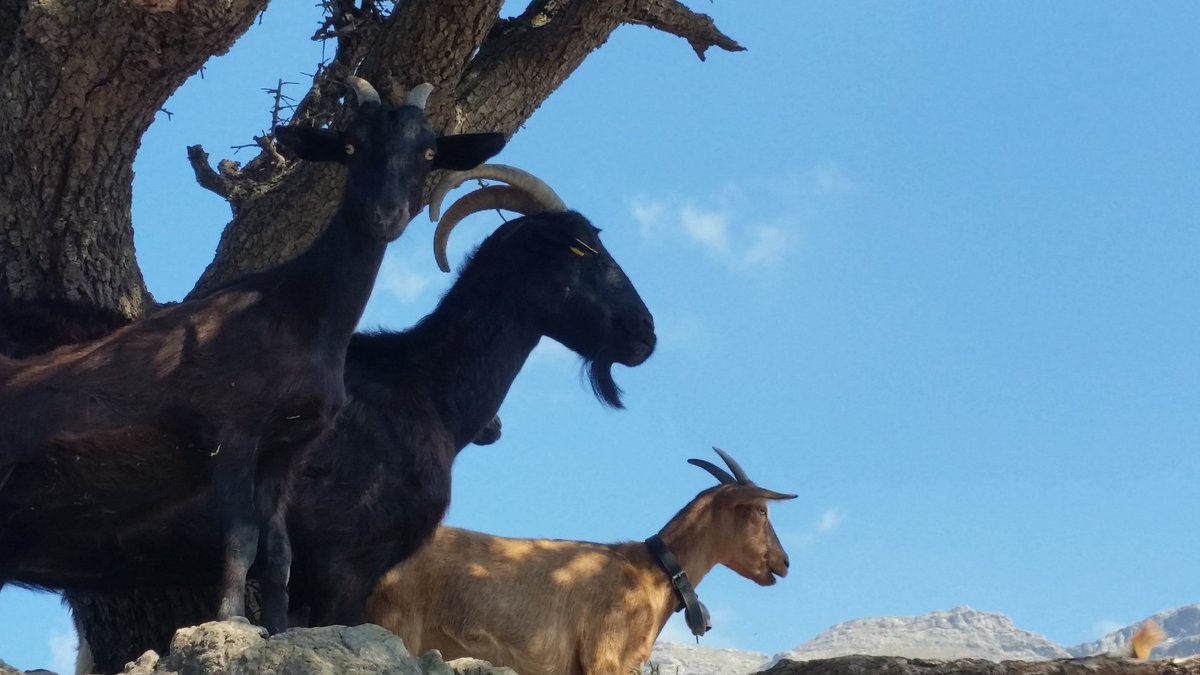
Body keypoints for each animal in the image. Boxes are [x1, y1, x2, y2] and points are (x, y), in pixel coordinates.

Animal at [0, 77, 504, 633]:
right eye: (351, 146)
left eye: (429, 151)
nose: (386, 216)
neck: (298, 309)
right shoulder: (232, 429)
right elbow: (241, 535)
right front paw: (230, 620)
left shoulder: (285, 449)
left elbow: (278, 550)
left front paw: (278, 629)